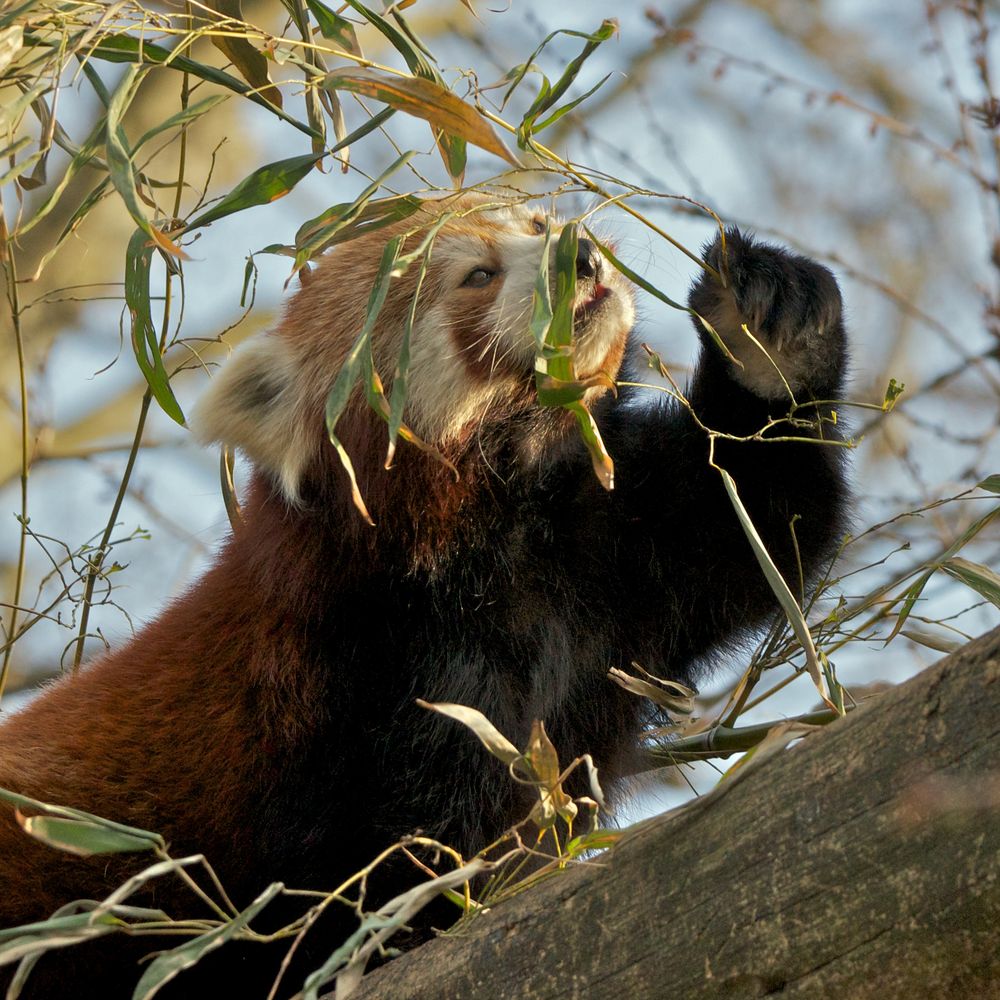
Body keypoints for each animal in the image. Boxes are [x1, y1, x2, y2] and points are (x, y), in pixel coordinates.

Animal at [0, 191, 852, 996]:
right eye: (478, 275)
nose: (579, 251)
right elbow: (401, 852)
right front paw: (424, 918)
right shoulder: (361, 674)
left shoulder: (615, 553)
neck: (502, 529)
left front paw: (766, 330)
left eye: (536, 223)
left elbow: (754, 516)